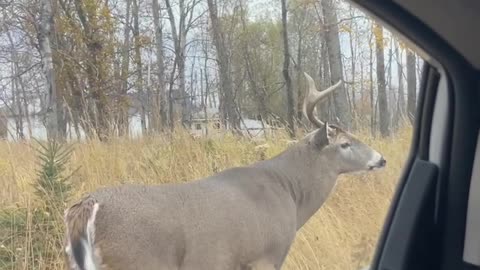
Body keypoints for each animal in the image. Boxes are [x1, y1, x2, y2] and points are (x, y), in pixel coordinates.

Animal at [63, 72, 386, 270]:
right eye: (345, 143)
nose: (381, 159)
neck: (291, 194)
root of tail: (87, 206)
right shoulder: (265, 255)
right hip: (138, 260)